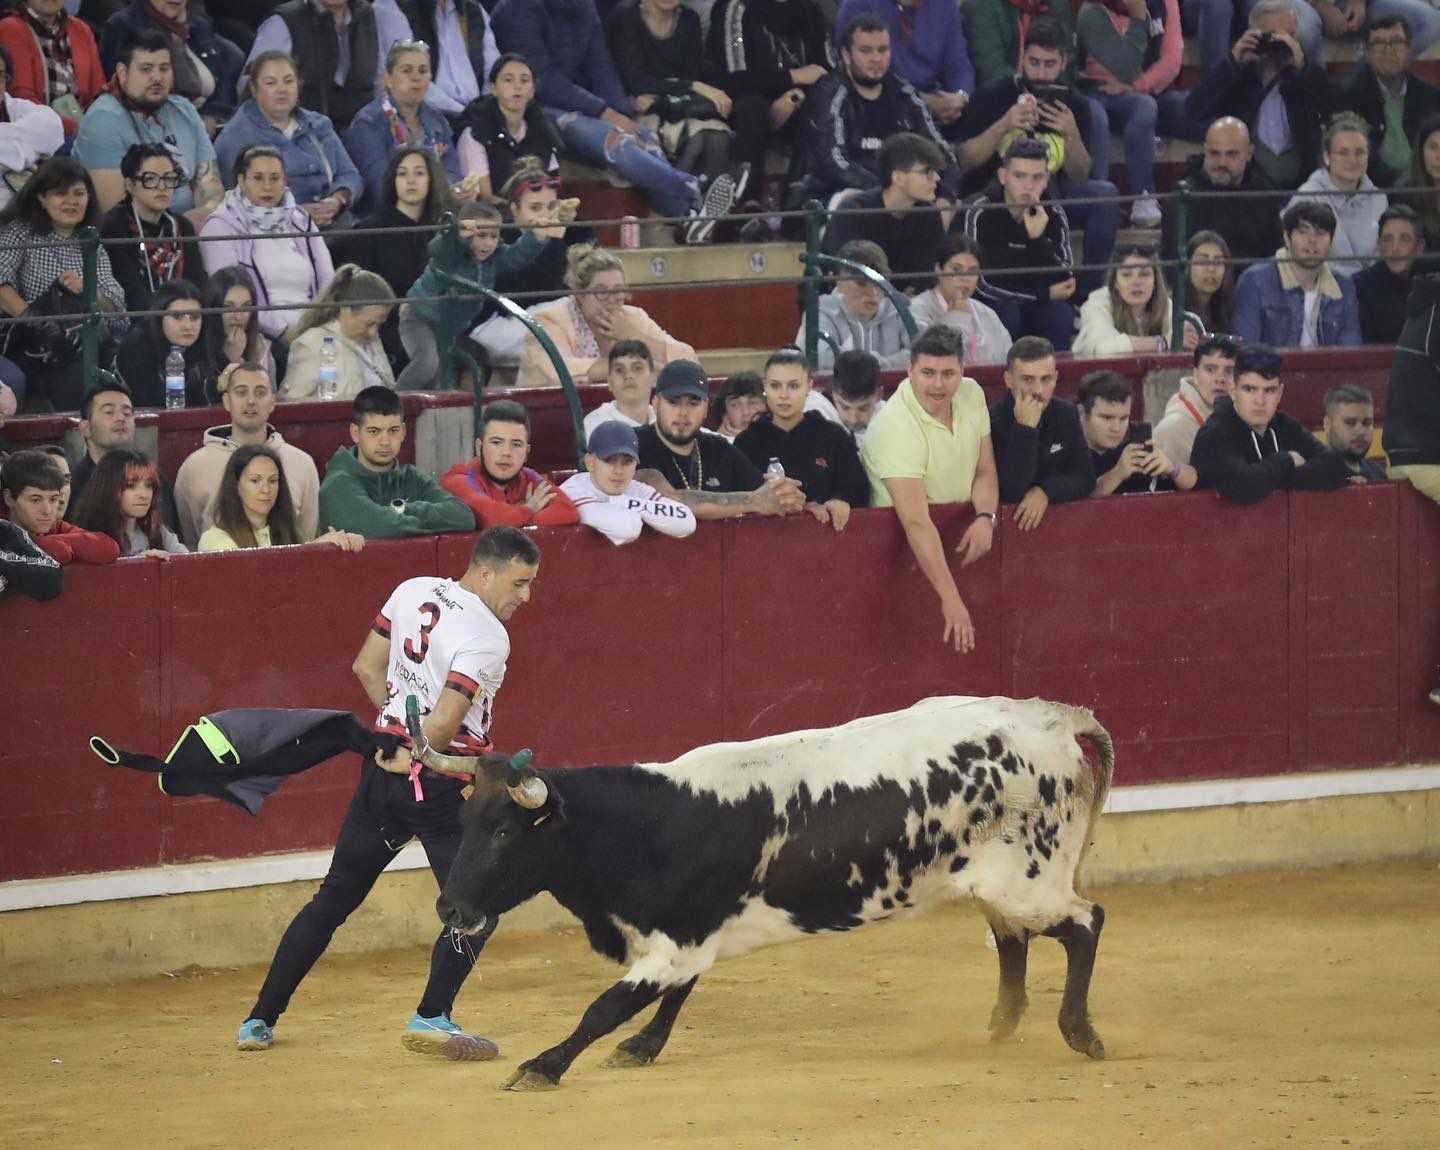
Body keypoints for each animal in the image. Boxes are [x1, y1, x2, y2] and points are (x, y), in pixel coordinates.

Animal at [432, 693, 1117, 1088]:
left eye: (503, 831)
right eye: (464, 820)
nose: (450, 906)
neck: (657, 823)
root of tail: (1053, 717)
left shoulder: (679, 941)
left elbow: (606, 1006)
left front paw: (542, 1066)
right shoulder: (692, 936)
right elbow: (673, 997)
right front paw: (640, 1049)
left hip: (1031, 881)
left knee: (1085, 922)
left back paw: (1080, 1032)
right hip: (1000, 883)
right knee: (1012, 938)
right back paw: (1002, 1023)